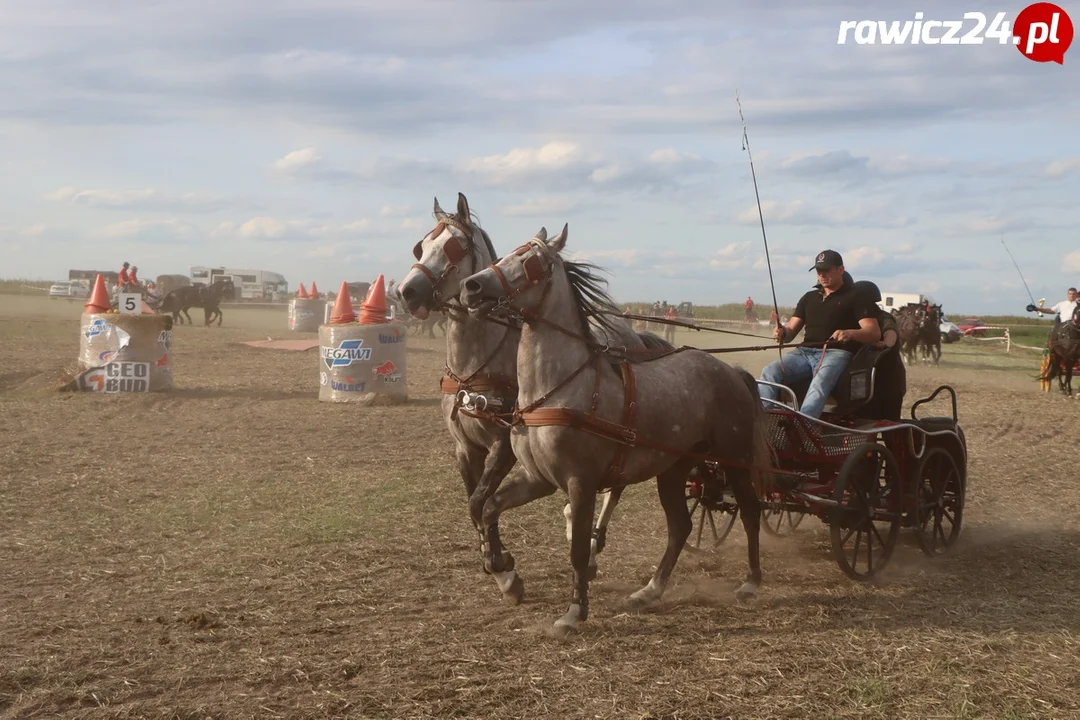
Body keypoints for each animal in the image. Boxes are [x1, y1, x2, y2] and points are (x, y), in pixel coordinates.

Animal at [397, 193, 669, 604]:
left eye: (454, 247)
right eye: (421, 245)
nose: (406, 290)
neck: (476, 366)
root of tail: (633, 333)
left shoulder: (503, 447)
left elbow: (480, 502)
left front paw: (503, 569)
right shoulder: (465, 448)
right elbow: (476, 504)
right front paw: (498, 564)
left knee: (616, 486)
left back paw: (591, 549)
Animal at [460, 225, 773, 634]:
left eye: (530, 262)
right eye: (509, 252)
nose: (470, 287)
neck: (556, 388)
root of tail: (731, 371)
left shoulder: (580, 482)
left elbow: (578, 549)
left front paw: (573, 612)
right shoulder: (537, 478)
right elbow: (489, 507)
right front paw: (503, 570)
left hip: (733, 459)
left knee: (750, 511)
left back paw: (751, 582)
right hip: (673, 470)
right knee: (680, 527)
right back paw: (650, 590)